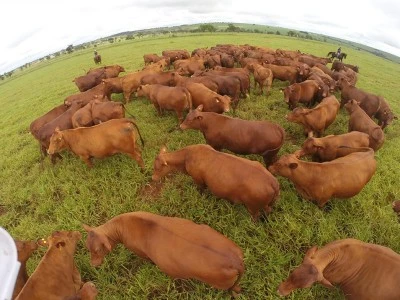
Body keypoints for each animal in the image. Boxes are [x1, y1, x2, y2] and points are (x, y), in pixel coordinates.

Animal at [82, 211, 244, 298]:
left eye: (98, 250)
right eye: (87, 247)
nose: (93, 264)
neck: (123, 224)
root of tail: (235, 262)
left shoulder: (141, 253)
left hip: (222, 284)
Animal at [152, 144, 280, 219]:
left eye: (158, 168)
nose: (153, 178)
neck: (187, 156)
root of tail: (272, 181)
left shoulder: (198, 180)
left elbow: (201, 191)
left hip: (252, 207)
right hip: (266, 205)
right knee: (268, 210)